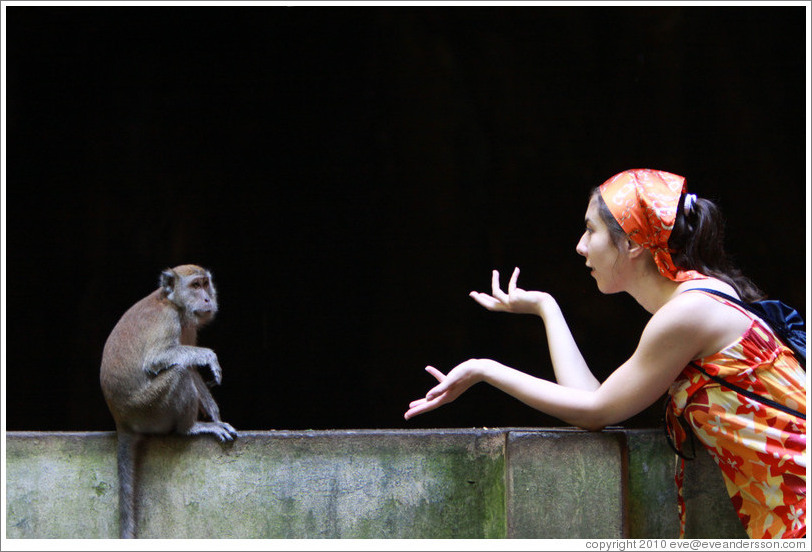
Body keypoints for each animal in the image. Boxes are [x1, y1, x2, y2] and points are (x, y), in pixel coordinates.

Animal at [99, 266, 236, 536]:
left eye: (206, 284)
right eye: (195, 286)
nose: (208, 299)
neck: (172, 303)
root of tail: (121, 420)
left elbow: (189, 364)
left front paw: (215, 414)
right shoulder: (167, 321)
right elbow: (158, 358)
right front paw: (210, 356)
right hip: (148, 409)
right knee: (178, 373)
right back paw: (191, 427)